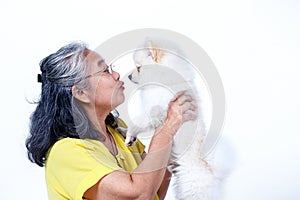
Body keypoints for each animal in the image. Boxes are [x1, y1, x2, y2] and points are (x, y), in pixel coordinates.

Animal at [122, 38, 232, 199]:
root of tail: (210, 169)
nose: (129, 76)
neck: (166, 81)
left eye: (139, 68)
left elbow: (137, 121)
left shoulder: (155, 112)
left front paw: (129, 134)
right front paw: (125, 133)